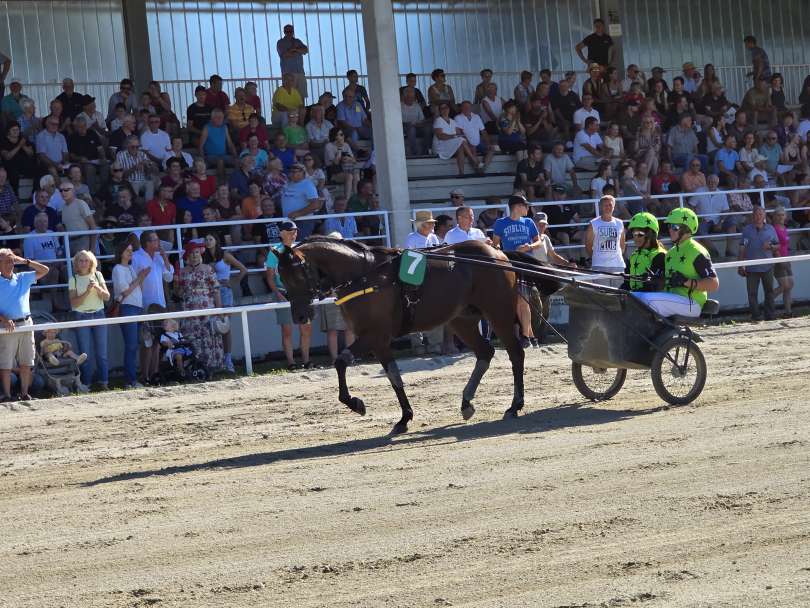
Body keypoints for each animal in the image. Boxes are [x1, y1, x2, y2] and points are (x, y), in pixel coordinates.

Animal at [272, 236, 560, 432]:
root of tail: (496, 251)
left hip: (497, 312)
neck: (365, 274)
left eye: (298, 274)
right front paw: (404, 417)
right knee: (485, 352)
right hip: (462, 319)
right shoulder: (378, 340)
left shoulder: (374, 334)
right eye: (281, 278)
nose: (299, 316)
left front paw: (355, 403)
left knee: (515, 354)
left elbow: (341, 362)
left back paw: (515, 405)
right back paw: (466, 402)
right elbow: (393, 377)